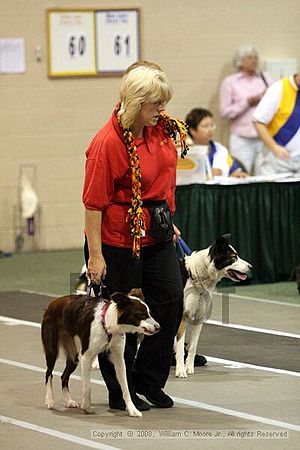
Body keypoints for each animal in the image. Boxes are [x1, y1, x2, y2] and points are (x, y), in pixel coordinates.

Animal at [41, 288, 162, 418]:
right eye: (141, 314)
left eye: (149, 313)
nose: (158, 327)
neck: (108, 325)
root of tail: (53, 302)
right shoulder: (86, 356)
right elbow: (87, 387)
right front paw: (86, 406)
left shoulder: (119, 359)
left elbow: (126, 388)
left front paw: (132, 409)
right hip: (52, 349)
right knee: (49, 373)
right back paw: (49, 399)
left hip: (74, 356)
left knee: (64, 376)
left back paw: (69, 401)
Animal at [175, 234, 252, 378]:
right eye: (233, 257)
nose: (251, 266)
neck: (197, 275)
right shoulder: (182, 316)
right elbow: (180, 346)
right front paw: (180, 370)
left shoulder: (199, 317)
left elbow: (193, 346)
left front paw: (189, 367)